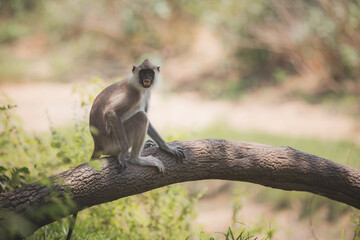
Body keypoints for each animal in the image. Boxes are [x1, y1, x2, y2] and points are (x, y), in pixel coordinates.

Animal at [65, 58, 186, 240]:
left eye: (150, 72)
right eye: (143, 72)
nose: (147, 78)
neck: (139, 86)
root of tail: (98, 143)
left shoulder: (146, 94)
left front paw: (167, 148)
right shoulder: (134, 94)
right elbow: (112, 113)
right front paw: (123, 155)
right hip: (114, 139)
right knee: (141, 117)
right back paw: (134, 157)